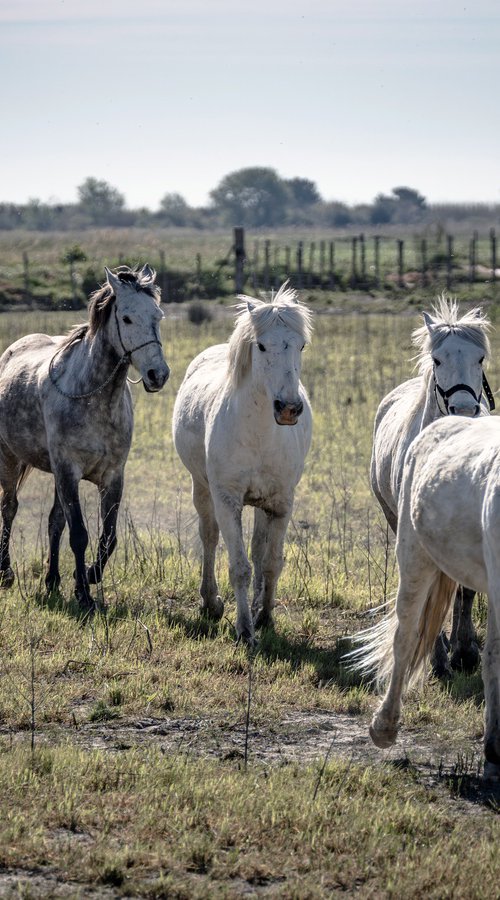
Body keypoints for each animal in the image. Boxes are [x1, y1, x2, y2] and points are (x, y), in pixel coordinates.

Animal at [0, 264, 170, 610]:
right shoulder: (68, 471)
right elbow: (79, 534)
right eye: (127, 318)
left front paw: (90, 576)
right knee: (9, 508)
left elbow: (108, 536)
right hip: (10, 459)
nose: (157, 375)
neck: (94, 398)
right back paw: (6, 574)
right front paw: (84, 595)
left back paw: (52, 581)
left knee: (54, 521)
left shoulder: (112, 476)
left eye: (157, 316)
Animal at [172, 283, 313, 645]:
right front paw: (245, 629)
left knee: (258, 549)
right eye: (261, 346)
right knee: (209, 538)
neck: (259, 434)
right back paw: (211, 602)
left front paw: (265, 616)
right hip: (202, 489)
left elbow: (270, 562)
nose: (289, 409)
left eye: (301, 345)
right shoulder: (227, 500)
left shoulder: (281, 504)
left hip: (262, 503)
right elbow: (239, 567)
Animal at [370, 295, 494, 676]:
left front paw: (465, 650)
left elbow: (465, 591)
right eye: (438, 359)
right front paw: (439, 658)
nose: (464, 408)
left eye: (480, 358)